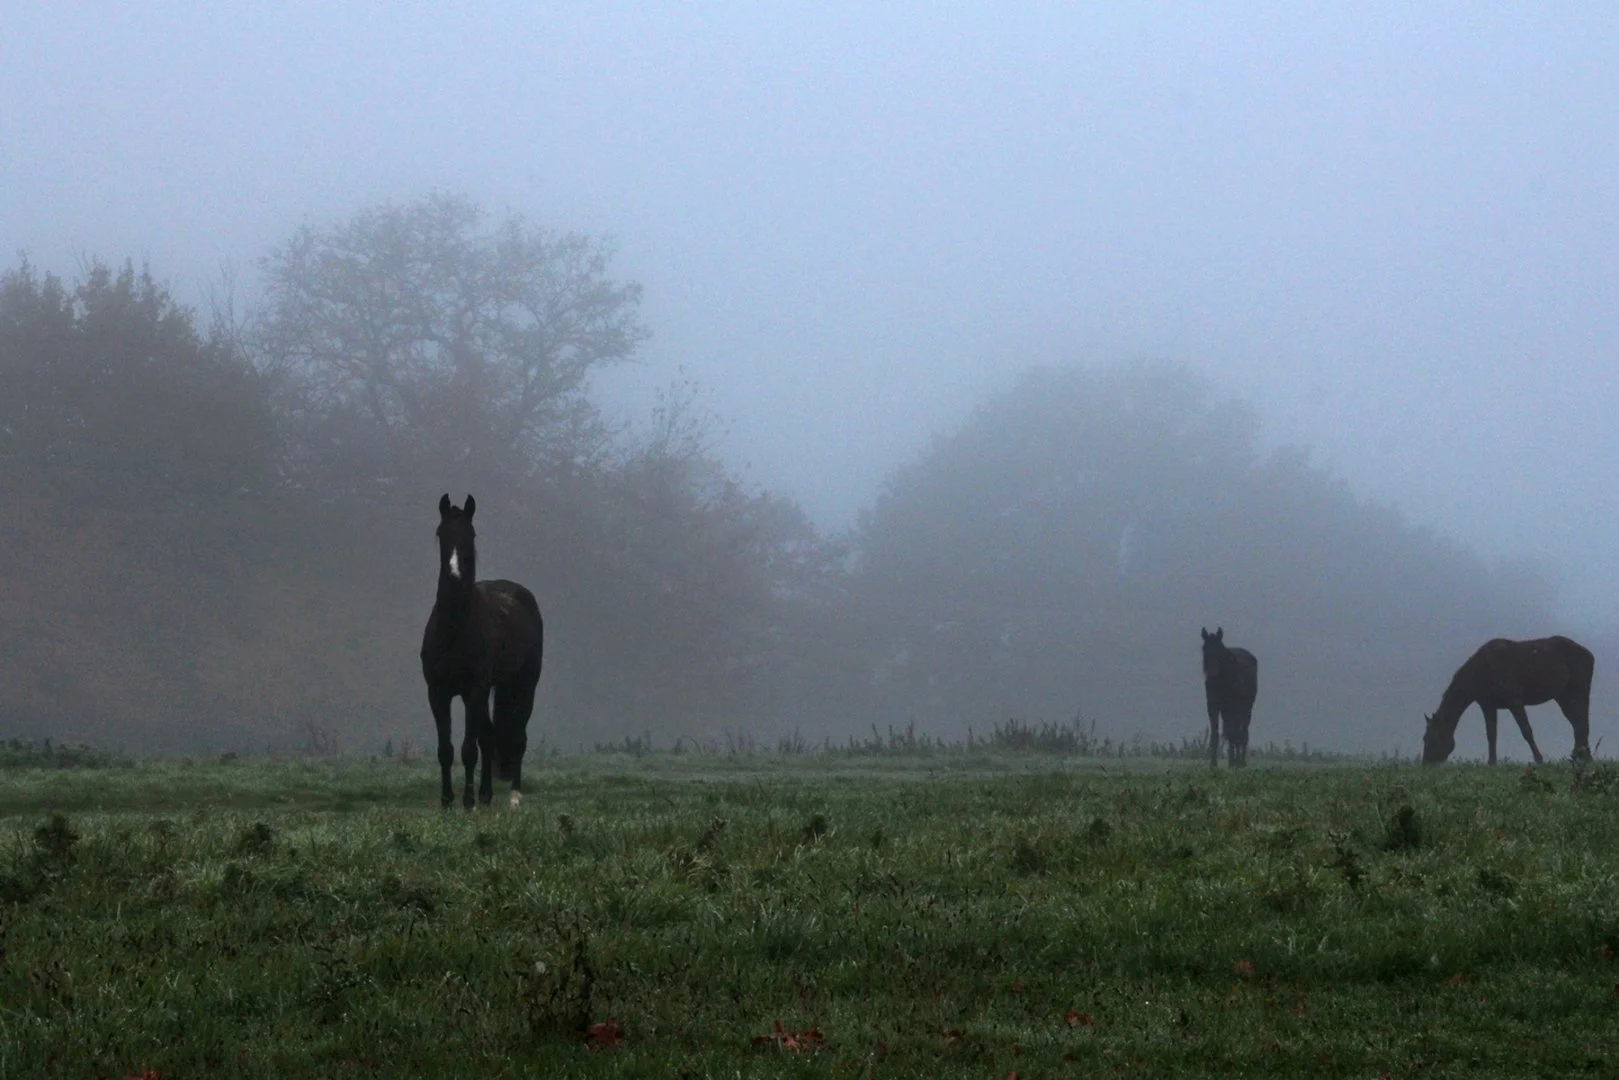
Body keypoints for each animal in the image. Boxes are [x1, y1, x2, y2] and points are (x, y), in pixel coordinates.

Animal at [420, 494, 544, 809]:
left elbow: (468, 749)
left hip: (524, 684)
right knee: (488, 736)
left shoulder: (474, 689)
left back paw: (514, 795)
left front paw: (467, 801)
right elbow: (446, 749)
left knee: (518, 737)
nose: (454, 574)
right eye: (441, 533)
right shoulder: (438, 692)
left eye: (471, 534)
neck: (455, 628)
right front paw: (447, 801)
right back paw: (486, 794)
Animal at [1201, 626, 1258, 767]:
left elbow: (1234, 732)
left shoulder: (1232, 706)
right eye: (1204, 648)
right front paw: (1213, 763)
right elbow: (1216, 733)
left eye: (1219, 650)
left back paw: (1240, 761)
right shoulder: (1213, 706)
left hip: (1245, 709)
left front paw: (1233, 762)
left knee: (1242, 731)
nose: (1212, 674)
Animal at [1421, 636, 1593, 765]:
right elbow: (1491, 735)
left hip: (1579, 691)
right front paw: (1492, 763)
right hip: (1563, 696)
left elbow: (1526, 730)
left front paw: (1539, 759)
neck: (1481, 672)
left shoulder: (1514, 700)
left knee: (1581, 723)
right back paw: (1581, 757)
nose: (1426, 764)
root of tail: (1589, 654)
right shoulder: (1488, 706)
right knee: (1578, 723)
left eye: (1431, 738)